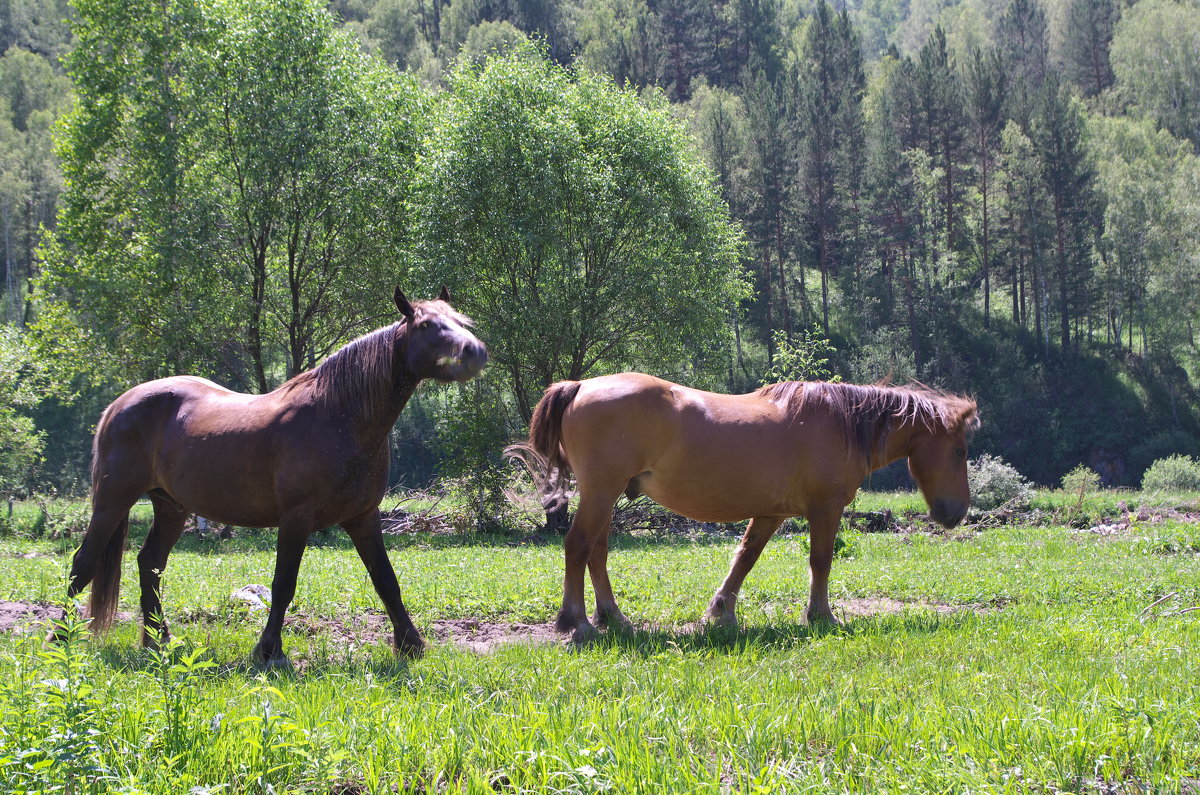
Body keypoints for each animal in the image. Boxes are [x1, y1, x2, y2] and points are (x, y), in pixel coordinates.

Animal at [64, 289, 487, 662]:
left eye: (460, 320)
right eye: (427, 325)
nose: (476, 352)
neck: (338, 416)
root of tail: (118, 404)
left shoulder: (364, 518)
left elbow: (386, 580)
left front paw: (411, 645)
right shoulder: (296, 520)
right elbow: (284, 584)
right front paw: (269, 651)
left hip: (171, 507)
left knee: (149, 565)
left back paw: (158, 641)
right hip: (113, 499)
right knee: (84, 562)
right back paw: (62, 639)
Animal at [511, 377, 979, 643]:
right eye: (959, 451)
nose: (955, 514)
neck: (842, 423)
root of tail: (580, 385)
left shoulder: (770, 513)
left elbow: (744, 559)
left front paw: (721, 611)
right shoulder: (824, 509)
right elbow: (820, 561)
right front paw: (822, 617)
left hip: (605, 496)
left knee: (597, 552)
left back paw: (614, 617)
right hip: (600, 492)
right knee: (578, 546)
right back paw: (576, 622)